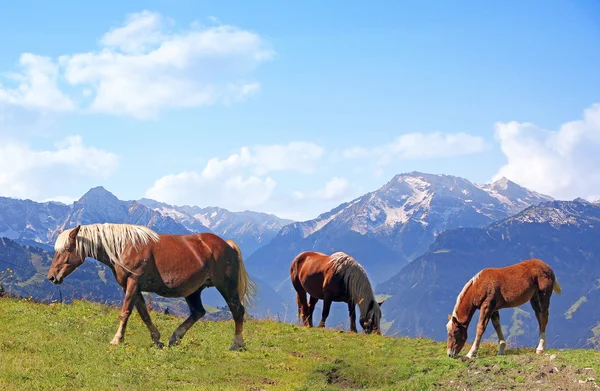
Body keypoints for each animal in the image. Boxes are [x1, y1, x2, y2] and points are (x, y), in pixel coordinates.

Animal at [46, 225, 253, 350]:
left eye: (66, 249)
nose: (52, 276)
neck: (124, 246)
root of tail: (227, 245)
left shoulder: (133, 283)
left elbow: (125, 312)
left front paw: (117, 339)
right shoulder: (133, 288)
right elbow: (144, 313)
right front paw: (156, 338)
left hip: (226, 287)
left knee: (237, 311)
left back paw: (237, 344)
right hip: (194, 291)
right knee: (198, 312)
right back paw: (175, 338)